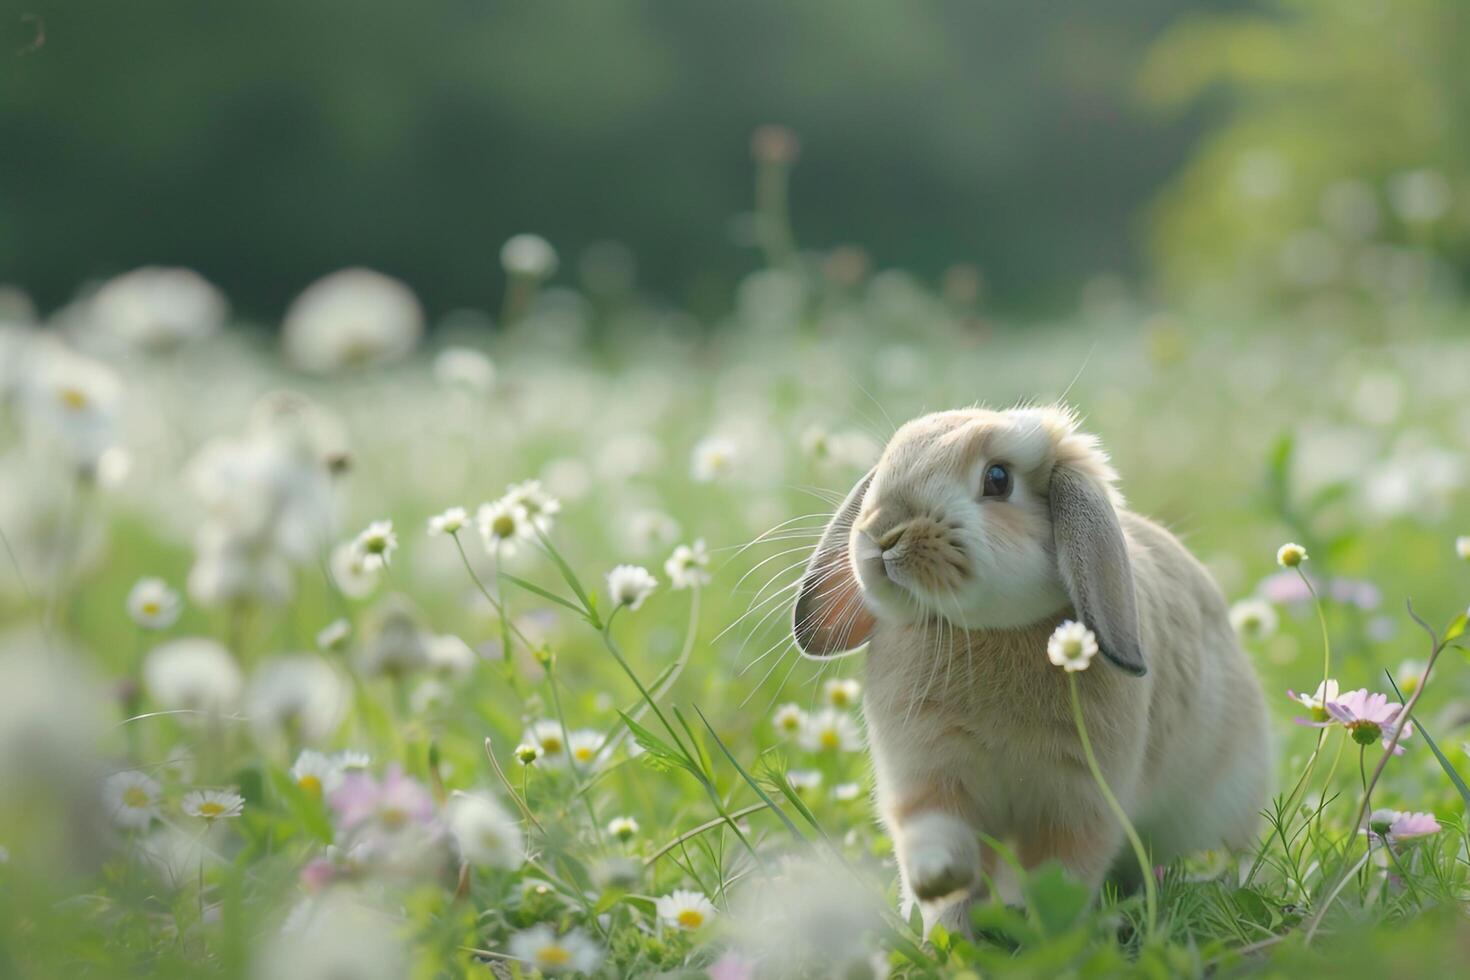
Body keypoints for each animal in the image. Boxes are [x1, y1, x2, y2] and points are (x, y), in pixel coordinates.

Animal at [791, 405, 1271, 935]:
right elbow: (936, 841)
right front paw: (940, 899)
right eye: (888, 464)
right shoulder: (928, 778)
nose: (882, 534)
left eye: (998, 479)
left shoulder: (1079, 802)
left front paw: (1042, 931)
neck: (987, 630)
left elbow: (1060, 873)